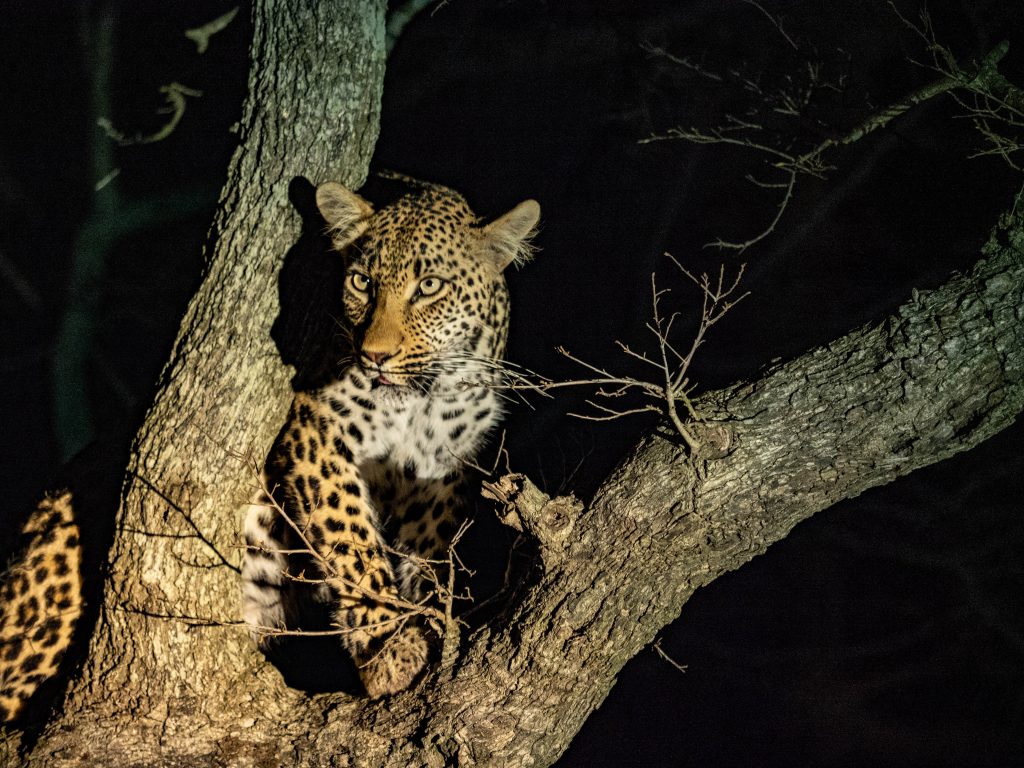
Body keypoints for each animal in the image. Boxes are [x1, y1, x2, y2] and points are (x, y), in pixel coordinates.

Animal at [241, 178, 540, 697]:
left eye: (429, 287)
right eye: (362, 282)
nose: (375, 356)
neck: (419, 402)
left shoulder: (447, 469)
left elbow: (431, 551)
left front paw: (431, 620)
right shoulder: (317, 430)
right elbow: (351, 539)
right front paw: (390, 647)